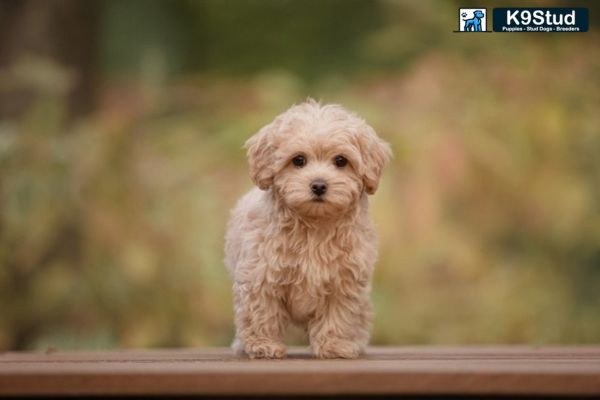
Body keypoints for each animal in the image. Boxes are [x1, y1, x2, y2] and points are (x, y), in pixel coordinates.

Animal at [224, 100, 390, 360]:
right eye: (298, 160)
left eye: (341, 161)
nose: (319, 185)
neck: (314, 226)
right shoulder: (259, 276)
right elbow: (262, 312)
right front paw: (263, 345)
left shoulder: (345, 280)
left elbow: (338, 316)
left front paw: (334, 345)